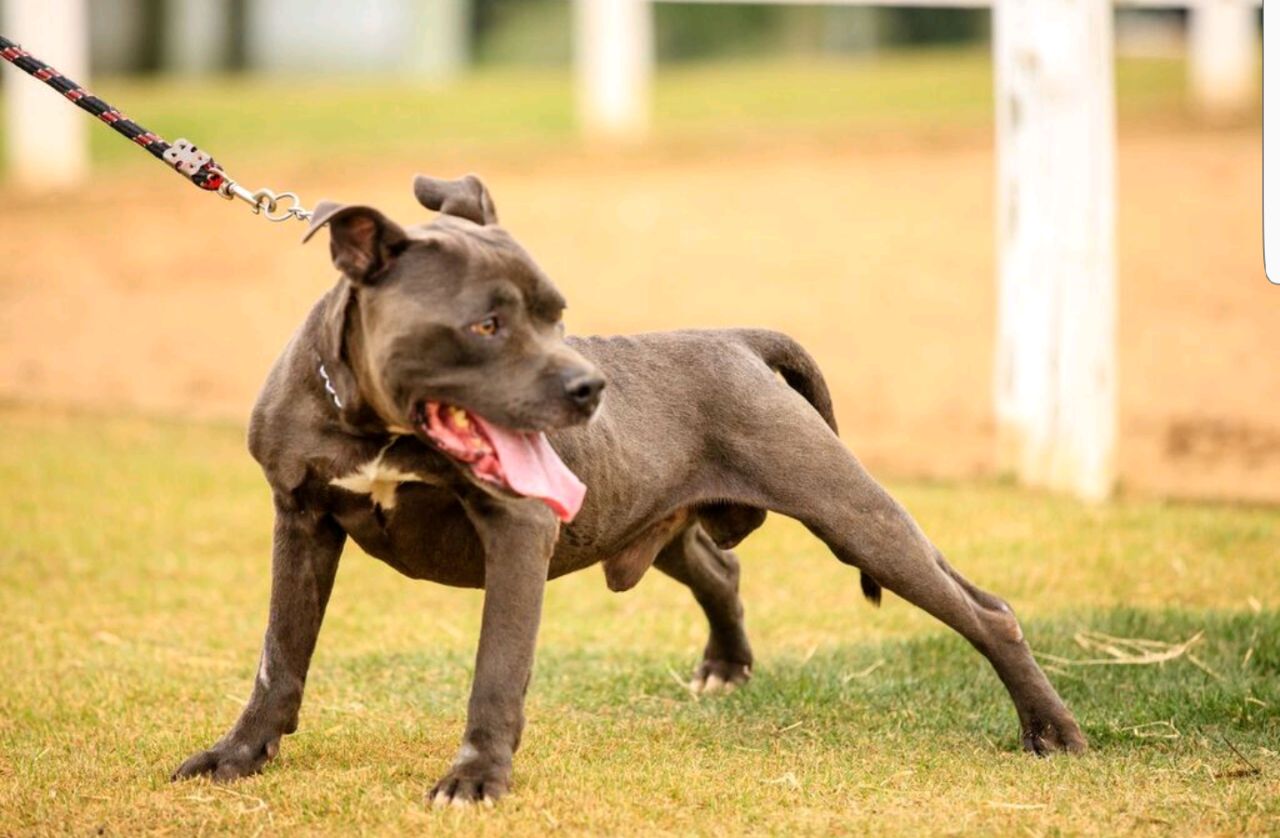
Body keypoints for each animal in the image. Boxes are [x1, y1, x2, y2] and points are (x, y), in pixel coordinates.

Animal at [175, 175, 1085, 808]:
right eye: (487, 324)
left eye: (557, 313)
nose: (591, 386)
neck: (373, 424)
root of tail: (734, 337)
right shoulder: (300, 520)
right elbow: (279, 655)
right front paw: (238, 755)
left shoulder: (516, 528)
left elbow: (496, 668)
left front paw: (476, 778)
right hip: (663, 523)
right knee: (725, 571)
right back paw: (726, 667)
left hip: (852, 515)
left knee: (985, 613)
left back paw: (1052, 731)